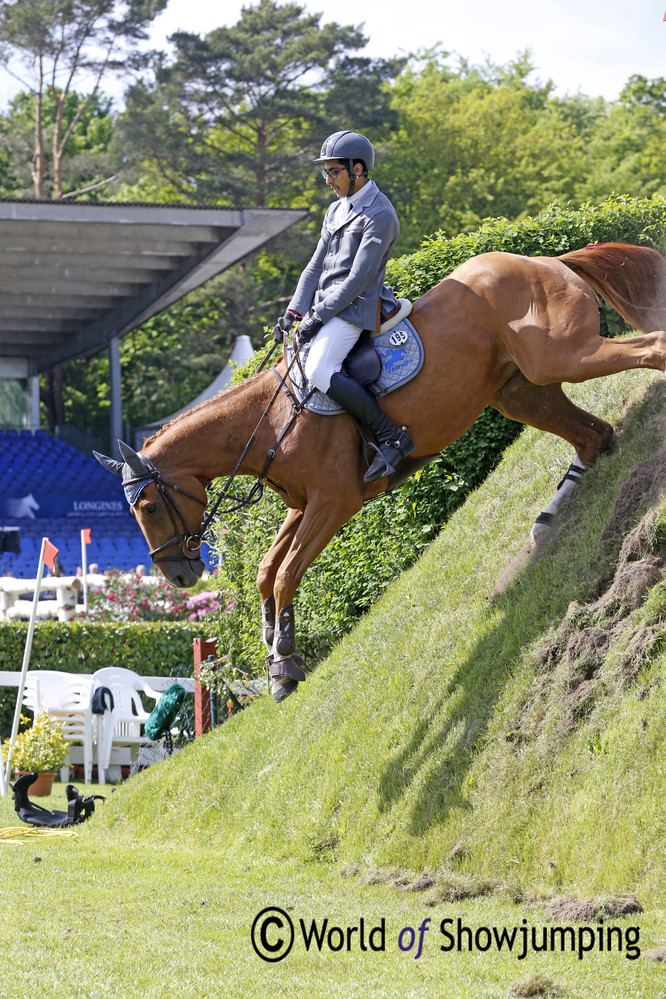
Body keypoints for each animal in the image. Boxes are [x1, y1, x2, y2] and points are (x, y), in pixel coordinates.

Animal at [94, 242, 666, 700]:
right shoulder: (305, 505)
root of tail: (545, 260)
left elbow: (286, 573)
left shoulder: (334, 503)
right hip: (522, 392)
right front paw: (272, 639)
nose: (179, 574)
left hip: (563, 357)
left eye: (148, 507)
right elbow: (266, 570)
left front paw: (283, 665)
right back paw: (547, 520)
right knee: (595, 437)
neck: (269, 422)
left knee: (650, 353)